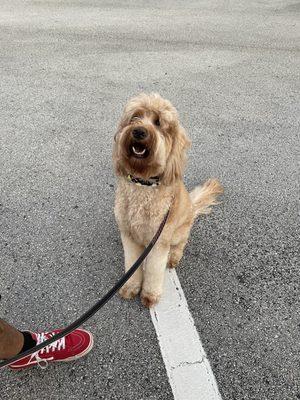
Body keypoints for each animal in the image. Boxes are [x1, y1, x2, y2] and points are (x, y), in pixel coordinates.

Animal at [113, 93, 221, 306]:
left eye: (158, 122)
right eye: (135, 117)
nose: (138, 131)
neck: (143, 184)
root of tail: (193, 207)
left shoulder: (159, 240)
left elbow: (155, 269)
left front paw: (150, 296)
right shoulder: (129, 236)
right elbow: (131, 264)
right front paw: (130, 288)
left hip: (179, 232)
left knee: (181, 244)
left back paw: (173, 257)